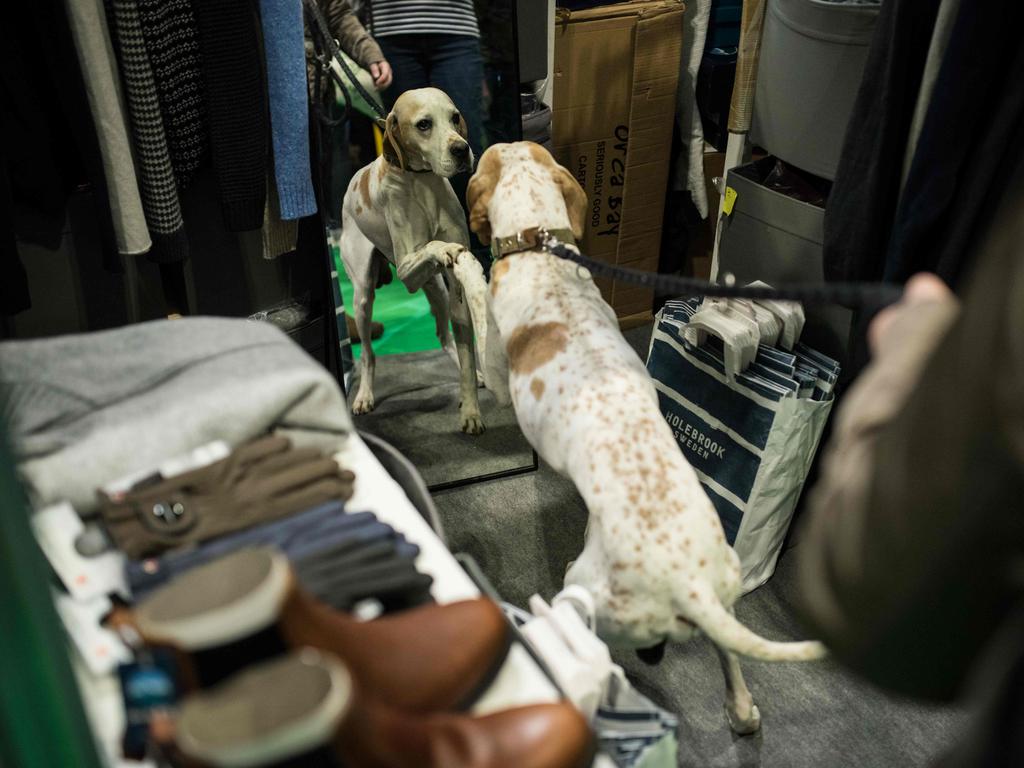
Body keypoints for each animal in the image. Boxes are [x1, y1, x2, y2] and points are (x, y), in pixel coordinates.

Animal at [337, 88, 489, 436]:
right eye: (423, 124)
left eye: (454, 117)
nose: (462, 149)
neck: (423, 183)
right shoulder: (408, 270)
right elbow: (432, 244)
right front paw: (444, 248)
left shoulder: (455, 288)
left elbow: (465, 354)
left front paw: (471, 410)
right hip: (363, 297)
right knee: (367, 354)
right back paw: (364, 395)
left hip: (438, 291)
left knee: (445, 337)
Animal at [468, 143, 827, 733]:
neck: (539, 244)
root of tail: (690, 584)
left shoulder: (497, 380)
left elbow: (474, 304)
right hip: (723, 594)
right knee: (729, 658)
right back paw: (741, 711)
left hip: (591, 593)